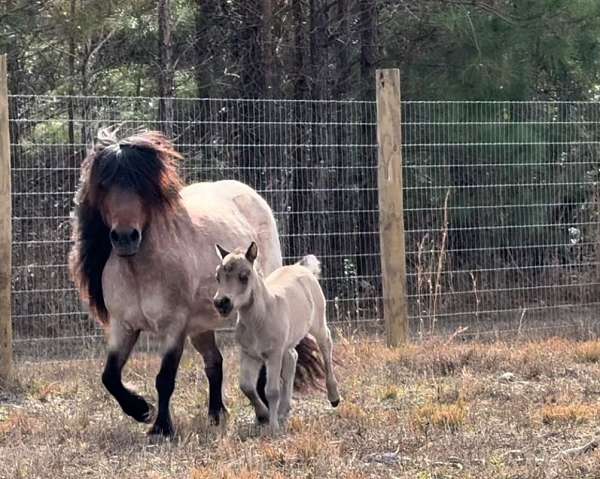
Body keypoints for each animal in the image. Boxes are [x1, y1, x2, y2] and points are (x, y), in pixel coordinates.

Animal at [68, 129, 326, 436]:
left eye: (142, 186)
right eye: (104, 185)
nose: (125, 237)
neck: (139, 272)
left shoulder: (174, 327)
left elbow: (164, 378)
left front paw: (161, 427)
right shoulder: (123, 326)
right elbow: (109, 376)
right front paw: (141, 410)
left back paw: (262, 412)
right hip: (201, 326)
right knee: (214, 363)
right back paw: (216, 414)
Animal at [213, 242, 340, 434]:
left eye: (244, 276)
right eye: (218, 277)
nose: (221, 303)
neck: (259, 319)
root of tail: (300, 267)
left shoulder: (273, 355)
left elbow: (271, 390)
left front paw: (273, 428)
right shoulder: (250, 354)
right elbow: (246, 386)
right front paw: (264, 414)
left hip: (317, 323)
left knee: (326, 345)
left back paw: (334, 397)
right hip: (286, 343)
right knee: (292, 358)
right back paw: (283, 409)